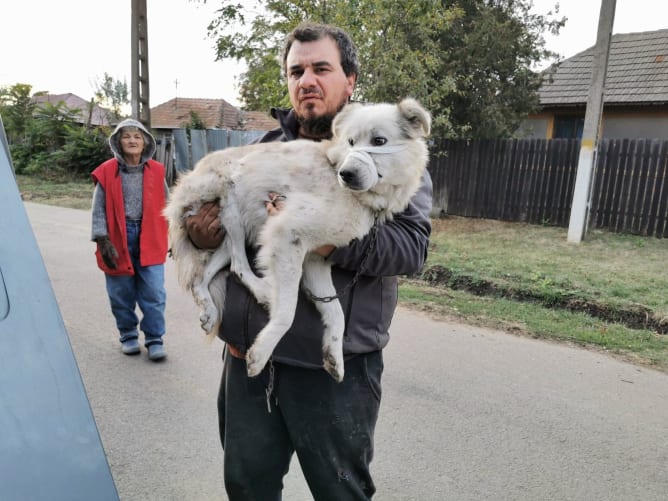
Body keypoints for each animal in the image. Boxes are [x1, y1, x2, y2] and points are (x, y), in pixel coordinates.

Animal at [164, 96, 430, 378]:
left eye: (379, 141)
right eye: (350, 142)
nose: (346, 174)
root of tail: (188, 176)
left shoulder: (315, 258)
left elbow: (336, 312)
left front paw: (335, 356)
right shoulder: (286, 235)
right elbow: (287, 311)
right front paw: (261, 352)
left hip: (235, 229)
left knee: (204, 275)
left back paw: (209, 309)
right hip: (232, 204)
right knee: (238, 264)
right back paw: (263, 292)